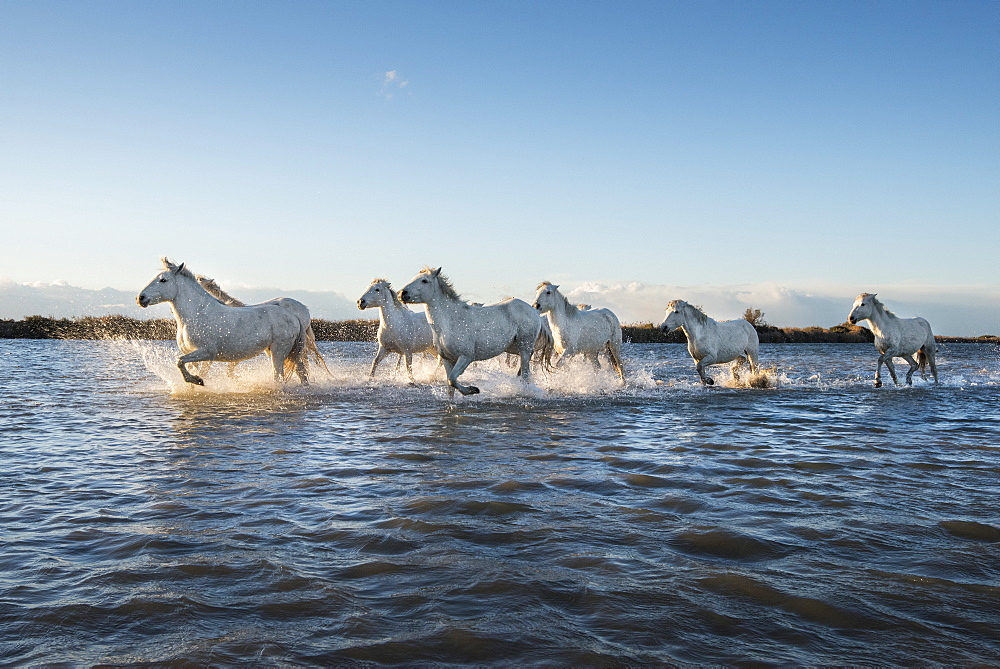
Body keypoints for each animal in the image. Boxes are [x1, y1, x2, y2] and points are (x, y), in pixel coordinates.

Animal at [137, 260, 316, 386]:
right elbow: (185, 365)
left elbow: (180, 362)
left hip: (279, 352)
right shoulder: (194, 355)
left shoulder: (206, 353)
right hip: (279, 352)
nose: (140, 298)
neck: (197, 314)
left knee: (279, 376)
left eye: (163, 280)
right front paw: (195, 382)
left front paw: (198, 380)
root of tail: (294, 316)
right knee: (301, 372)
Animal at [398, 264, 544, 394]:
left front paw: (472, 390)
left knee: (526, 374)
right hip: (513, 347)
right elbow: (450, 387)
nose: (401, 294)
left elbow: (452, 379)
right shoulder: (447, 360)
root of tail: (534, 311)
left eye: (424, 280)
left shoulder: (465, 357)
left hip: (524, 347)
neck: (449, 320)